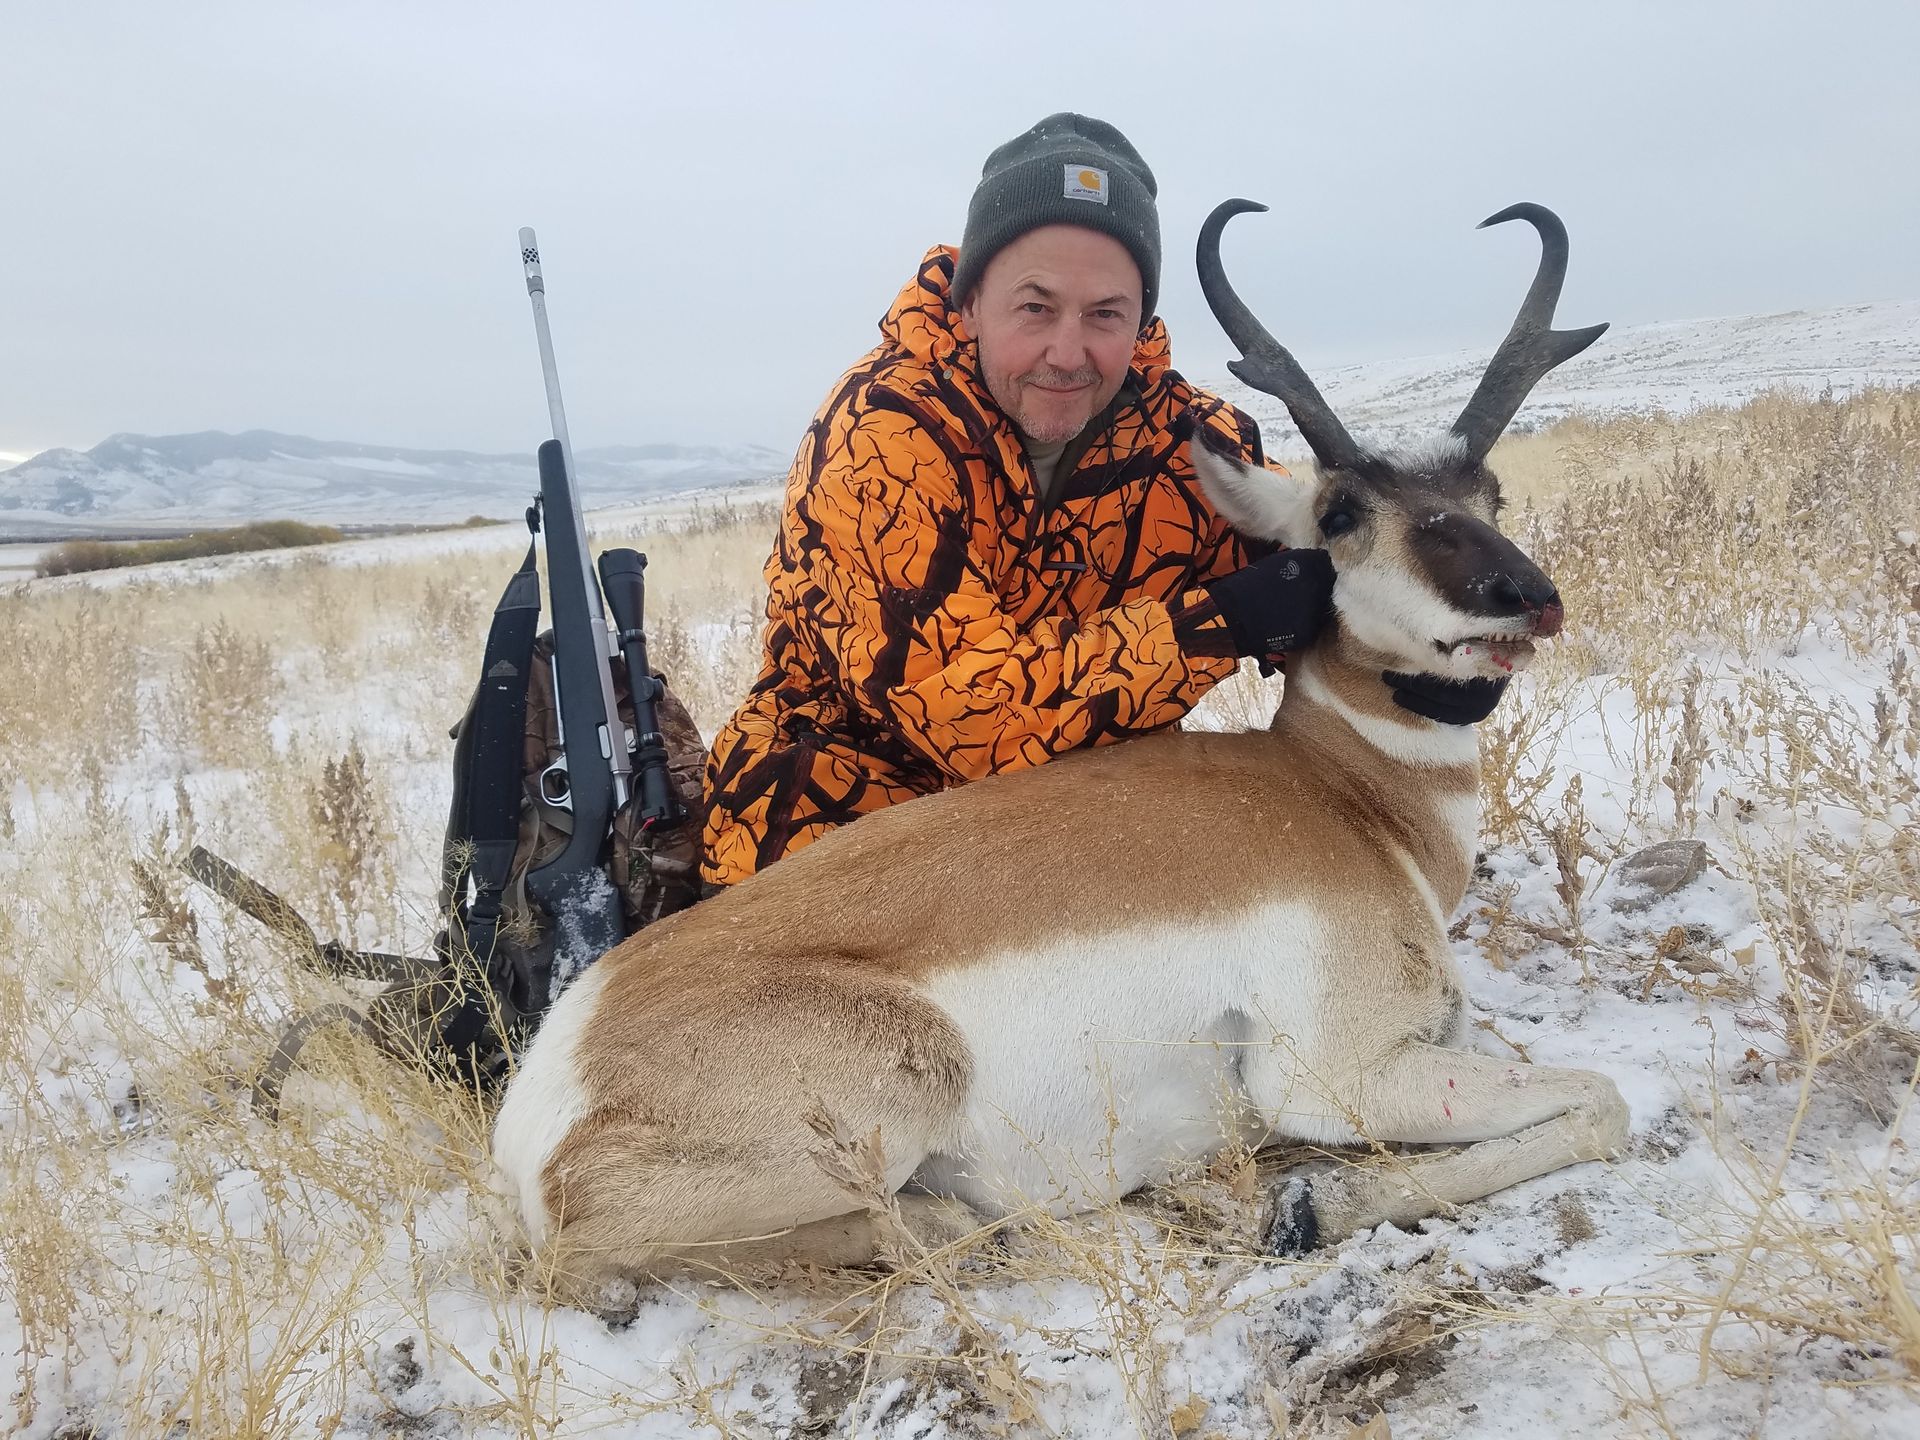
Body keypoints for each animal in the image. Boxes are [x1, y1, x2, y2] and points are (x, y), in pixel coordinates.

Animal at [491, 199, 1629, 1285]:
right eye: (1343, 512)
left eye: (1489, 495)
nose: (1525, 596)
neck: (1344, 798)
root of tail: (555, 1076)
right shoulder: (1344, 1075)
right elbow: (1605, 1100)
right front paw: (1305, 1207)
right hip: (904, 1076)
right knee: (588, 1253)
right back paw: (967, 1229)